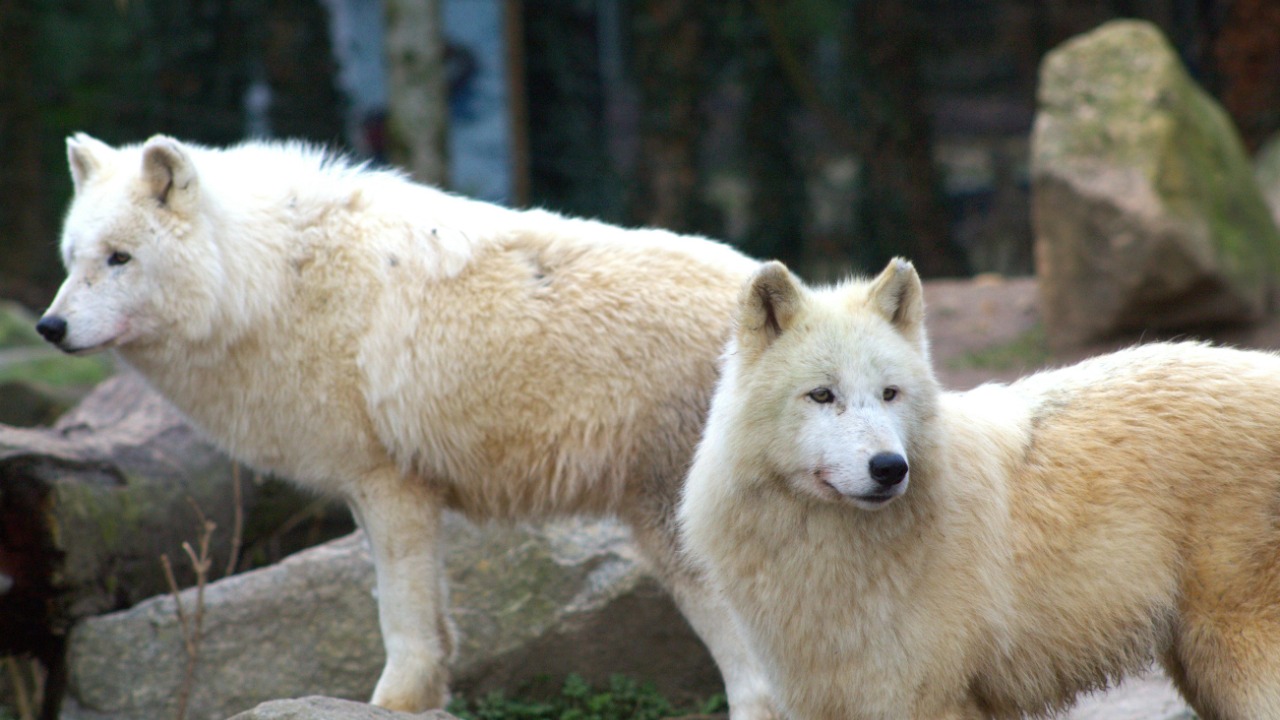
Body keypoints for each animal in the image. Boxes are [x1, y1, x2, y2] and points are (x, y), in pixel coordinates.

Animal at [36, 134, 777, 717]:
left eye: (120, 257)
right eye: (72, 257)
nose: (49, 327)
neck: (271, 282)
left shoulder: (389, 485)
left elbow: (401, 618)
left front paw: (392, 703)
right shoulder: (378, 495)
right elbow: (431, 623)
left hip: (673, 536)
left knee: (762, 683)